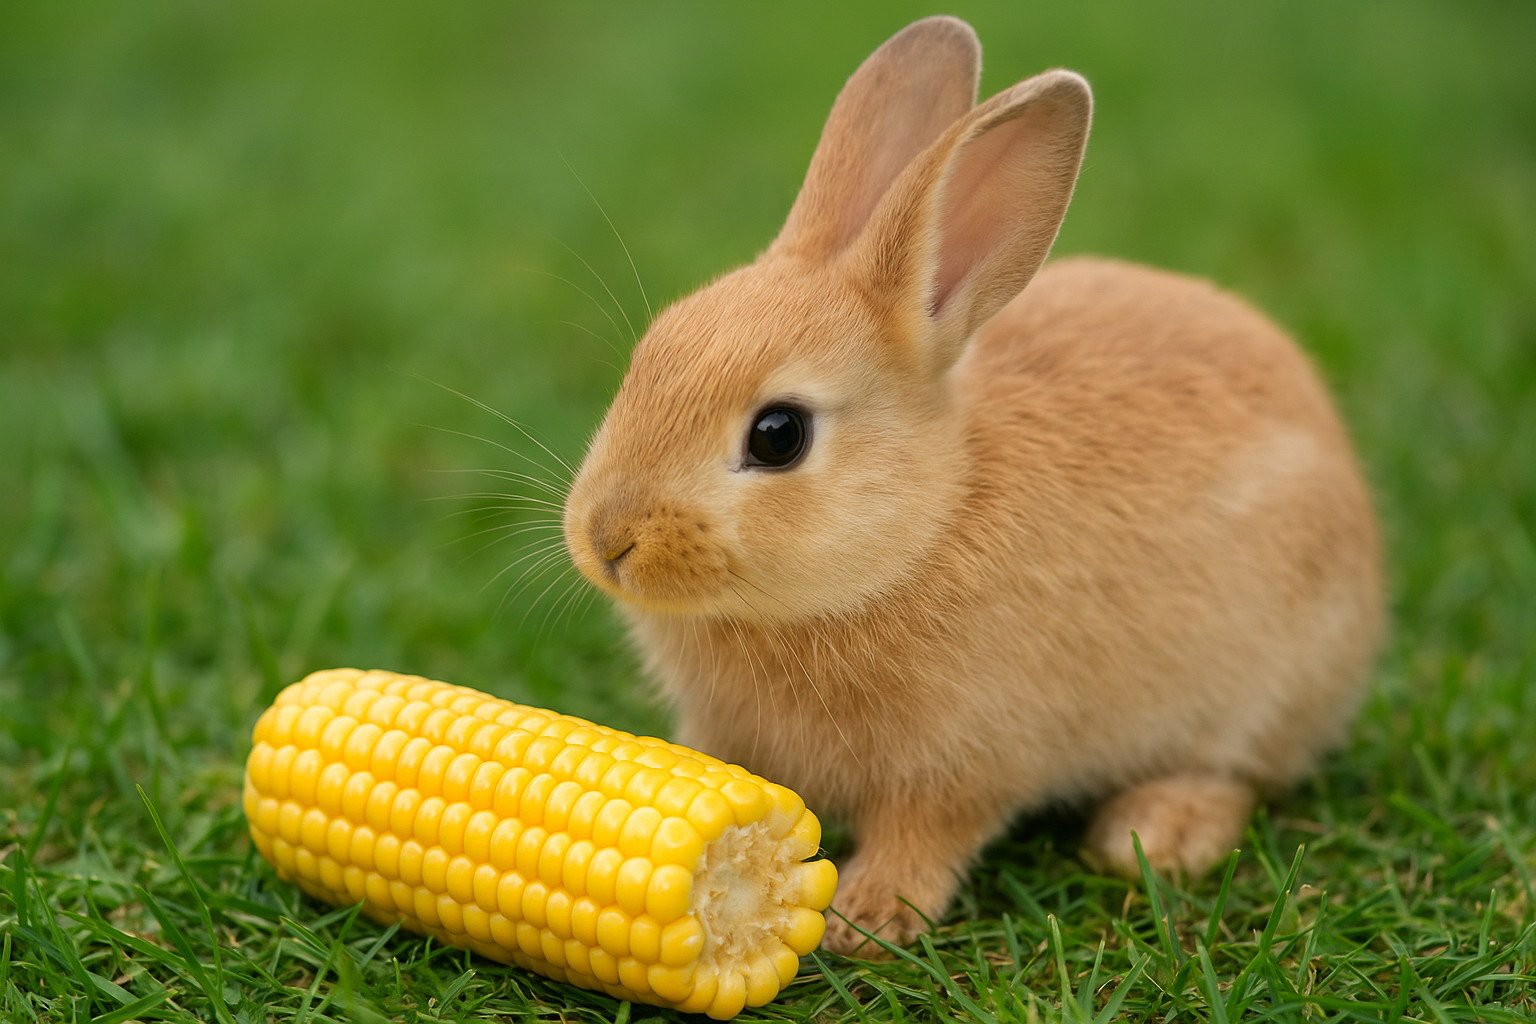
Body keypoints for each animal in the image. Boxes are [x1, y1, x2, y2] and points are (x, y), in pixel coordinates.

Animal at [559, 16, 1383, 955]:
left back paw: (1157, 833)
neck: (924, 525)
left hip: (1263, 685)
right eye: (647, 357)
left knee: (1237, 769)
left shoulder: (966, 759)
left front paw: (866, 917)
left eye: (778, 436)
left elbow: (929, 832)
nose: (606, 540)